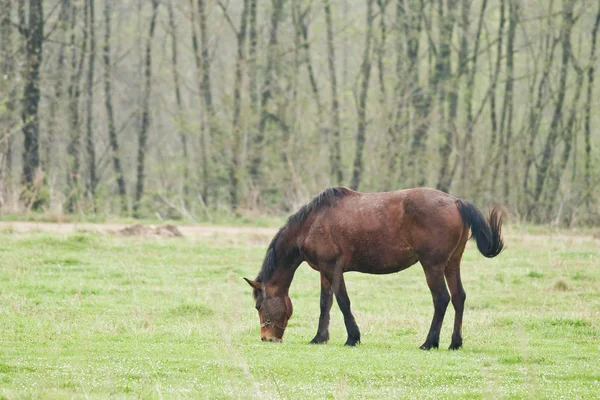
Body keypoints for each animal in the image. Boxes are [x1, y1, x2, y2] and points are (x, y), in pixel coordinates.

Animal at [241, 186, 504, 348]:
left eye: (258, 306)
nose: (267, 338)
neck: (312, 224)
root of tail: (457, 202)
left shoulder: (333, 269)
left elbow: (342, 302)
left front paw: (352, 337)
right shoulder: (324, 272)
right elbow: (325, 303)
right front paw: (319, 337)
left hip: (432, 266)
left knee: (441, 299)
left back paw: (429, 342)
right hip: (452, 264)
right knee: (459, 297)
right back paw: (455, 342)